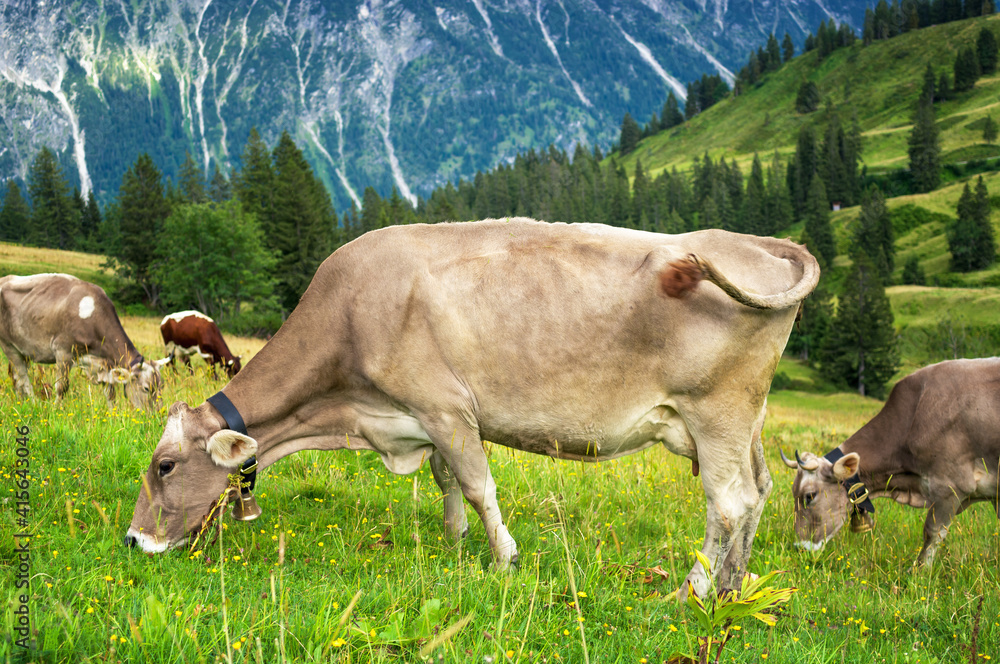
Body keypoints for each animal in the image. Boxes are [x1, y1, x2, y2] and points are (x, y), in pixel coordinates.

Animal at [125, 218, 820, 596]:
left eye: (164, 466)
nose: (133, 540)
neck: (346, 416)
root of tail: (755, 242)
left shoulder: (446, 406)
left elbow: (479, 483)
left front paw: (504, 557)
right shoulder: (420, 417)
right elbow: (447, 478)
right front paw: (455, 538)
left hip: (716, 412)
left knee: (728, 502)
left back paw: (691, 591)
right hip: (745, 420)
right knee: (758, 490)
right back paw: (734, 584)